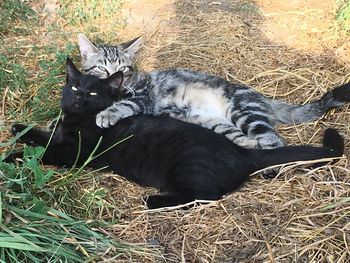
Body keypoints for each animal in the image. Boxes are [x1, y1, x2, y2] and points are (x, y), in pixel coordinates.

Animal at [5, 58, 344, 209]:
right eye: (75, 88)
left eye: (92, 94)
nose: (77, 99)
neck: (77, 118)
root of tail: (244, 155)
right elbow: (43, 134)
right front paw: (19, 128)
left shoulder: (74, 152)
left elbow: (46, 149)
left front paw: (12, 156)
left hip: (192, 161)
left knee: (206, 195)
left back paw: (155, 200)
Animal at [78, 33, 350, 150]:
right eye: (101, 68)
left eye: (123, 68)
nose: (116, 77)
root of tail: (264, 98)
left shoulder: (141, 97)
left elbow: (124, 104)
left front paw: (107, 114)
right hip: (214, 121)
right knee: (248, 139)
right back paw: (247, 146)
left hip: (244, 112)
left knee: (274, 141)